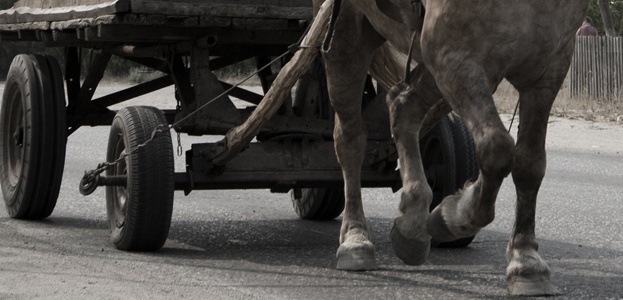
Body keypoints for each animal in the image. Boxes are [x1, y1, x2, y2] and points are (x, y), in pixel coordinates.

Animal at [320, 0, 592, 296]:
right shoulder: (454, 57)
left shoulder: (548, 68)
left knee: (403, 106)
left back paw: (412, 223)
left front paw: (526, 260)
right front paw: (450, 217)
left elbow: (530, 165)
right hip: (351, 34)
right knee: (350, 141)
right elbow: (497, 148)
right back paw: (355, 237)